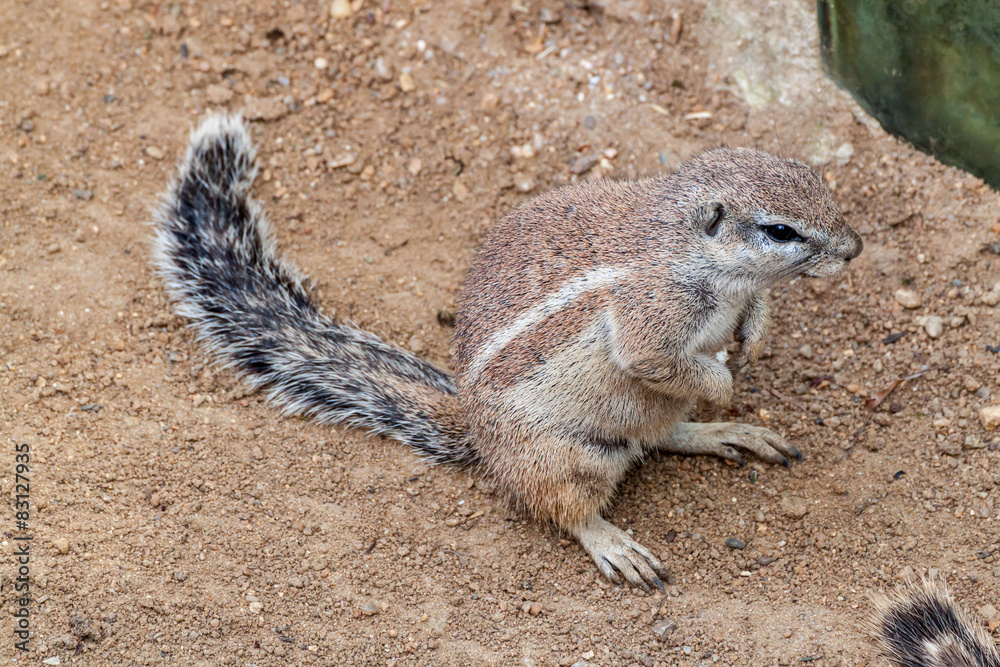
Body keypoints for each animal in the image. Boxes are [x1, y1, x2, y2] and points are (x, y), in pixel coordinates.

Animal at [153, 114, 862, 591]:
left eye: (814, 177)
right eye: (780, 230)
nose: (854, 248)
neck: (699, 256)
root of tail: (474, 429)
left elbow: (752, 314)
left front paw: (752, 338)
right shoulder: (650, 314)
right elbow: (654, 359)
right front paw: (723, 380)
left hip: (638, 423)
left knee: (663, 434)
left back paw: (723, 434)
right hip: (566, 456)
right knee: (568, 504)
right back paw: (615, 542)